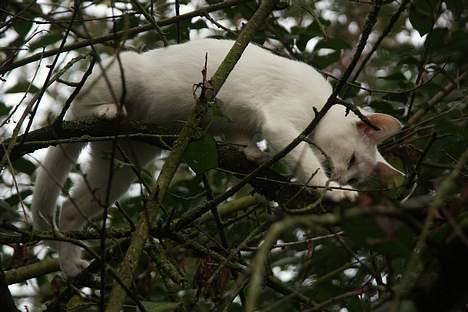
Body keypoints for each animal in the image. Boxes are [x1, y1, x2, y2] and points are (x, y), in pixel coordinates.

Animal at [31, 38, 402, 276]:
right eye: (351, 160)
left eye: (354, 173)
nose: (341, 177)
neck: (323, 103)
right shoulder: (283, 124)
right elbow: (306, 164)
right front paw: (332, 191)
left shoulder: (241, 121)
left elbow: (243, 138)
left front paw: (252, 153)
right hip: (126, 72)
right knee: (87, 101)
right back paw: (107, 109)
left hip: (122, 164)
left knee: (71, 209)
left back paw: (69, 262)